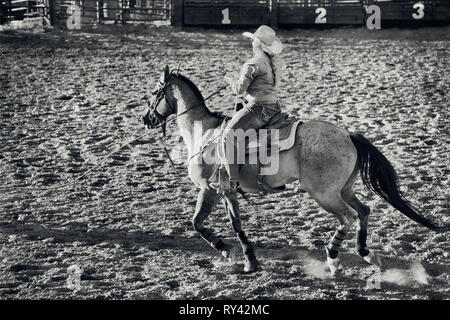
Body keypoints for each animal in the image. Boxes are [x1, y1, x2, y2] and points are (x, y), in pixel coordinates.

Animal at [142, 65, 444, 276]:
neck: (205, 133)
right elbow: (210, 222)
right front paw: (240, 256)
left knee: (347, 217)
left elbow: (213, 223)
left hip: (324, 194)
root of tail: (347, 134)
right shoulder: (221, 192)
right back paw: (366, 253)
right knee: (364, 211)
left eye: (155, 92)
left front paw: (237, 255)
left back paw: (334, 259)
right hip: (344, 189)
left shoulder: (214, 189)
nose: (146, 118)